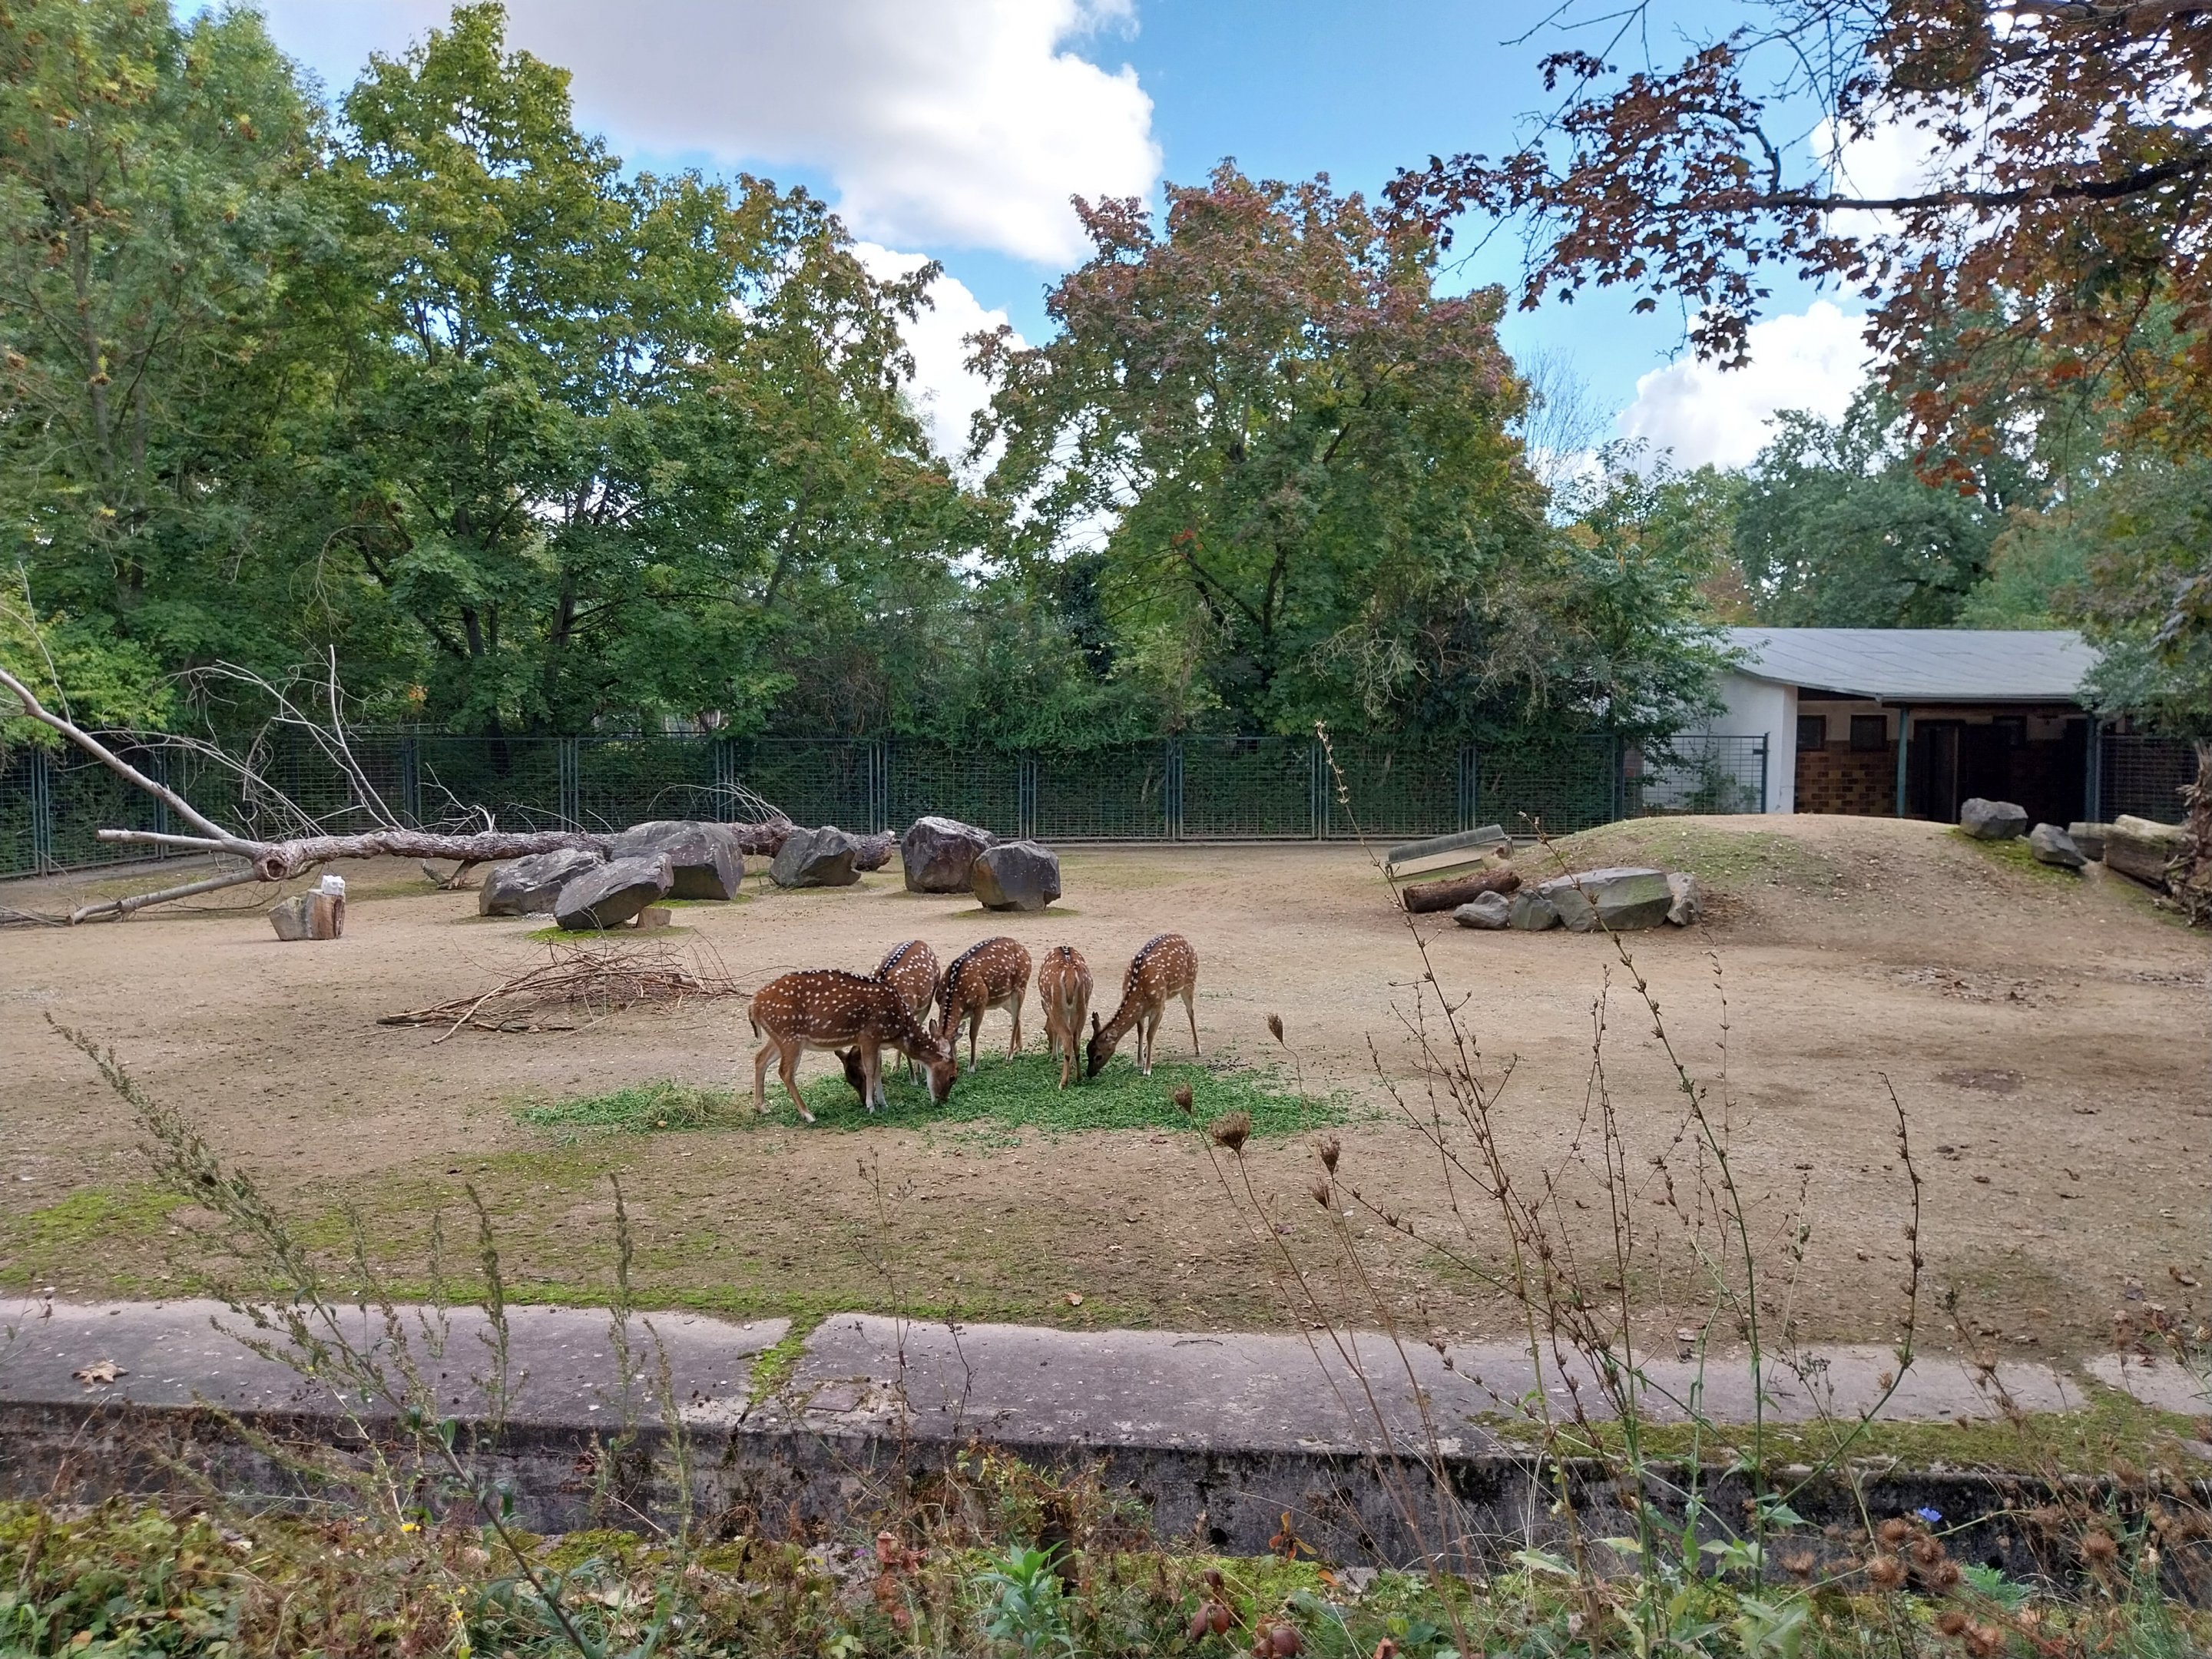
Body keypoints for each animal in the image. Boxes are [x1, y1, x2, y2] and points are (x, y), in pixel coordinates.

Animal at [749, 970, 955, 1123]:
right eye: (953, 1076)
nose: (943, 1100)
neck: (897, 1027)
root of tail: (753, 1005)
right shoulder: (869, 1035)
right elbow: (871, 1070)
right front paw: (871, 1106)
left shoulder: (876, 1041)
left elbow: (878, 1070)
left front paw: (883, 1103)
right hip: (790, 1037)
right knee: (785, 1071)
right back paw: (808, 1115)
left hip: (779, 1037)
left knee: (760, 1058)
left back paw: (762, 1108)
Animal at [934, 936, 1032, 1070]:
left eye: (948, 1053)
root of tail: (1025, 951)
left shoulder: (981, 1002)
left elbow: (972, 1034)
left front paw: (972, 1066)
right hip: (1004, 999)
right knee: (1017, 1016)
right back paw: (1018, 1048)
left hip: (1020, 986)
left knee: (1016, 1019)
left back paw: (1010, 1054)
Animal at [1036, 944, 1093, 1089]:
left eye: (1045, 1029)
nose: (1049, 1048)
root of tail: (1070, 972)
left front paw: (1053, 1057)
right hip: (1083, 1005)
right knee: (1076, 1038)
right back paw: (1079, 1077)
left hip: (1056, 1006)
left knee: (1068, 1037)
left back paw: (1063, 1083)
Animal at [1086, 932, 1198, 1078]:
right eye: (1087, 1052)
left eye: (1098, 1056)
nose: (1089, 1073)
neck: (1139, 988)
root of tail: (1185, 939)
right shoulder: (1143, 1010)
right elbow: (1141, 1031)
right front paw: (1139, 1062)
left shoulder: (1157, 1007)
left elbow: (1149, 1035)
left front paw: (1147, 1069)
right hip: (1166, 996)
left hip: (1190, 982)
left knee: (1190, 1012)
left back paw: (1197, 1048)